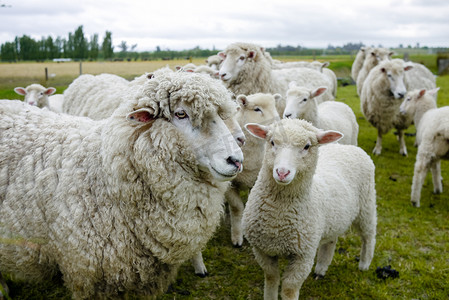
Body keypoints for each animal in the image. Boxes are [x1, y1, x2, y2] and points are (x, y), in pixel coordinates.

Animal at [242, 119, 374, 300]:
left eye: (307, 146)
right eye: (272, 142)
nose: (282, 172)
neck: (277, 218)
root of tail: (346, 146)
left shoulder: (303, 256)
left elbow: (289, 289)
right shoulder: (262, 249)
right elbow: (271, 278)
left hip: (367, 206)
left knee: (368, 236)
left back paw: (364, 264)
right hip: (335, 219)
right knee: (331, 241)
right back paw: (321, 269)